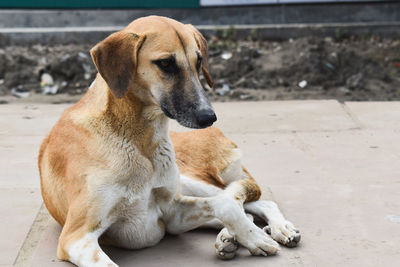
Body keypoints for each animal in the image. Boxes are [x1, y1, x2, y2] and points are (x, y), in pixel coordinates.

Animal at [38, 15, 300, 266]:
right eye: (165, 63)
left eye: (199, 62)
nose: (209, 117)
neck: (138, 140)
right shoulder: (77, 236)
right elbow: (227, 205)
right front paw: (250, 236)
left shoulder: (173, 210)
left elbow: (226, 204)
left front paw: (254, 237)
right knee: (242, 206)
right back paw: (229, 238)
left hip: (191, 179)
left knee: (252, 200)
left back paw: (278, 228)